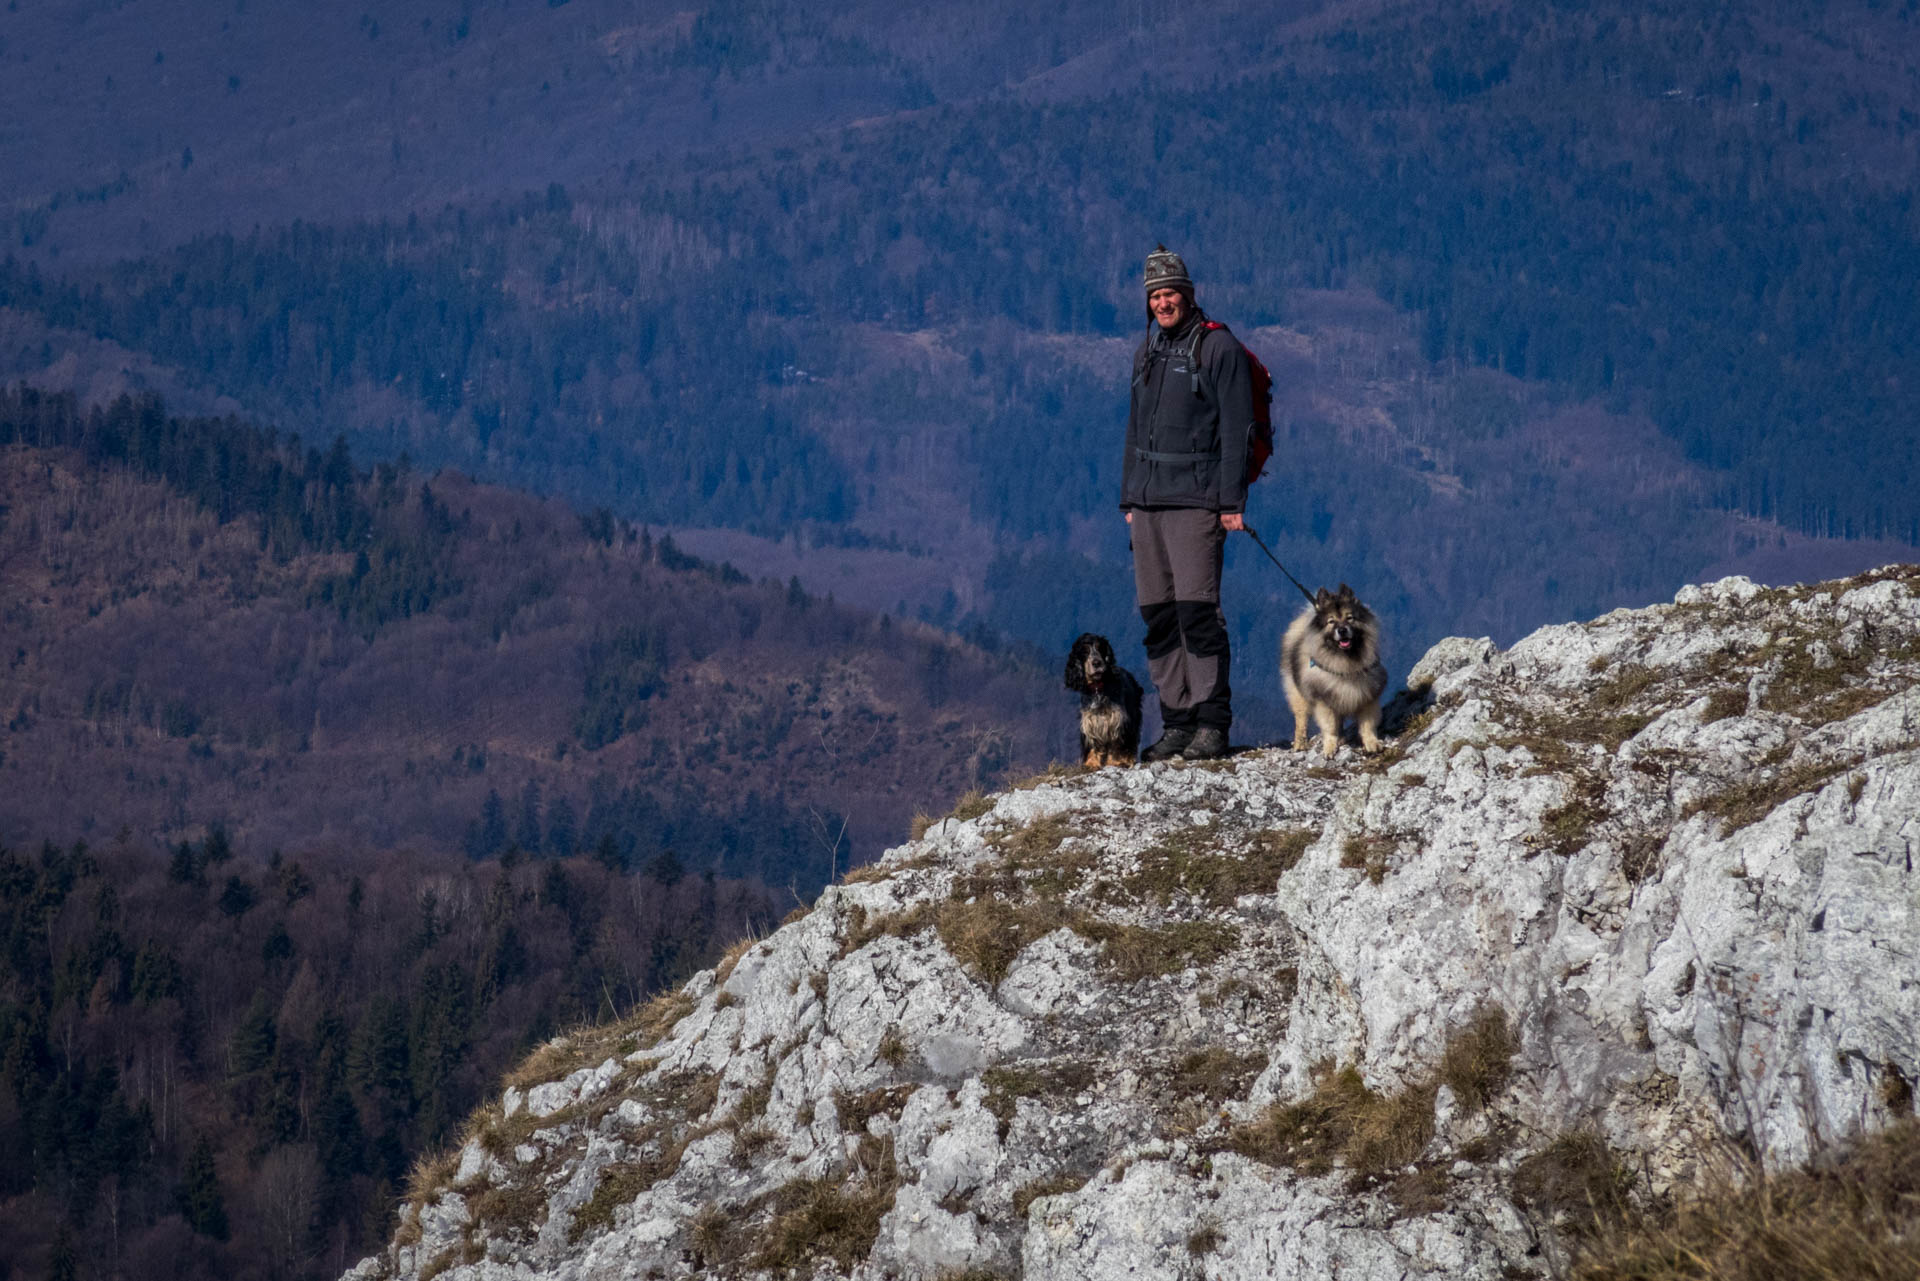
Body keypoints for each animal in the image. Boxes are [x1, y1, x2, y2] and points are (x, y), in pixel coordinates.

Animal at [1282, 587, 1390, 756]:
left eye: (1350, 618)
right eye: (1331, 621)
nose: (1342, 630)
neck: (1346, 663)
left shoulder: (1367, 697)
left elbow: (1368, 724)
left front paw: (1372, 743)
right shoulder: (1324, 701)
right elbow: (1329, 727)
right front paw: (1330, 747)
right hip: (1299, 696)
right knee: (1301, 720)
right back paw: (1300, 744)